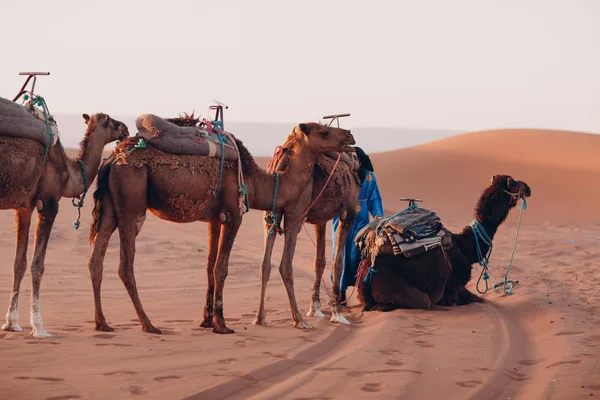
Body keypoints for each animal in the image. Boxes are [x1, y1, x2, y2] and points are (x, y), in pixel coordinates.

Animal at [0, 113, 129, 338]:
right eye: (110, 121)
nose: (126, 128)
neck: (70, 173)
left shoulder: (24, 208)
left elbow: (19, 263)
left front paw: (11, 323)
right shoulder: (49, 202)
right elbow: (37, 264)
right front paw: (39, 327)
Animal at [253, 152, 360, 328]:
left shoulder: (320, 220)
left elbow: (319, 262)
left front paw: (315, 308)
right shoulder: (349, 213)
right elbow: (337, 263)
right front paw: (338, 314)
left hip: (270, 213)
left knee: (265, 264)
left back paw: (260, 317)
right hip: (295, 214)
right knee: (285, 264)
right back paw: (298, 319)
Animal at [356, 173, 528, 310]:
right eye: (514, 182)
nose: (528, 187)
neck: (465, 247)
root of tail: (366, 274)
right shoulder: (454, 290)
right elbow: (478, 299)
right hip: (395, 286)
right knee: (421, 302)